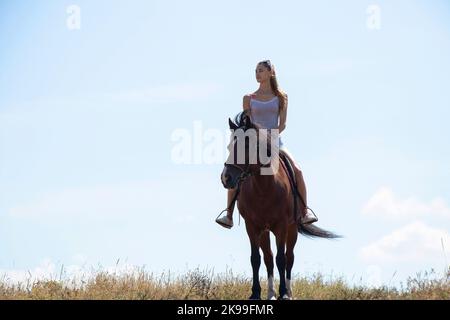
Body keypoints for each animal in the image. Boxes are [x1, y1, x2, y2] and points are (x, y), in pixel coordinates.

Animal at [221, 110, 342, 300]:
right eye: (229, 147)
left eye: (246, 146)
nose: (226, 178)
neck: (263, 187)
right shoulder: (252, 226)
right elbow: (256, 259)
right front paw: (255, 293)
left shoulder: (282, 226)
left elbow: (282, 259)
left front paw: (284, 293)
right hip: (264, 231)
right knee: (268, 258)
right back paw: (270, 293)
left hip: (292, 230)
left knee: (289, 257)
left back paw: (288, 292)